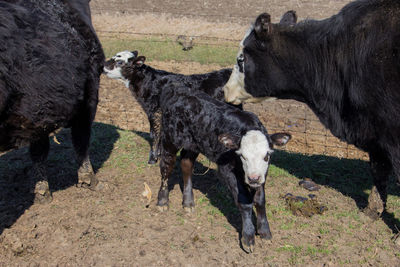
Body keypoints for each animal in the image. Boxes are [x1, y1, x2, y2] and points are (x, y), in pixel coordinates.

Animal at [103, 50, 238, 163]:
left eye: (120, 62)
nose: (103, 65)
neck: (148, 82)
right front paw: (159, 154)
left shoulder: (155, 112)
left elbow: (154, 134)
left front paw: (152, 159)